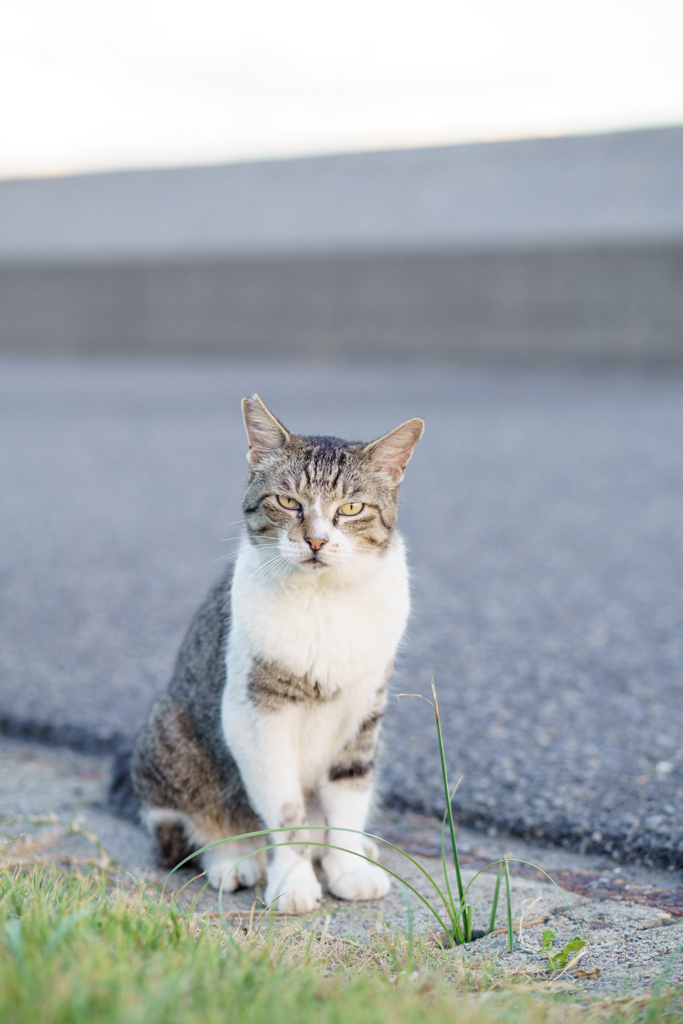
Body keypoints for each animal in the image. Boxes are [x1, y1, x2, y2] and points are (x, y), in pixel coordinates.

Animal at [131, 395, 423, 917]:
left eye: (352, 508)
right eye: (289, 502)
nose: (316, 540)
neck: (324, 601)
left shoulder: (365, 711)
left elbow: (349, 797)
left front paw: (348, 867)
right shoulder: (256, 714)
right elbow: (285, 809)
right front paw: (292, 881)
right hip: (171, 738)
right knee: (183, 831)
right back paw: (234, 859)